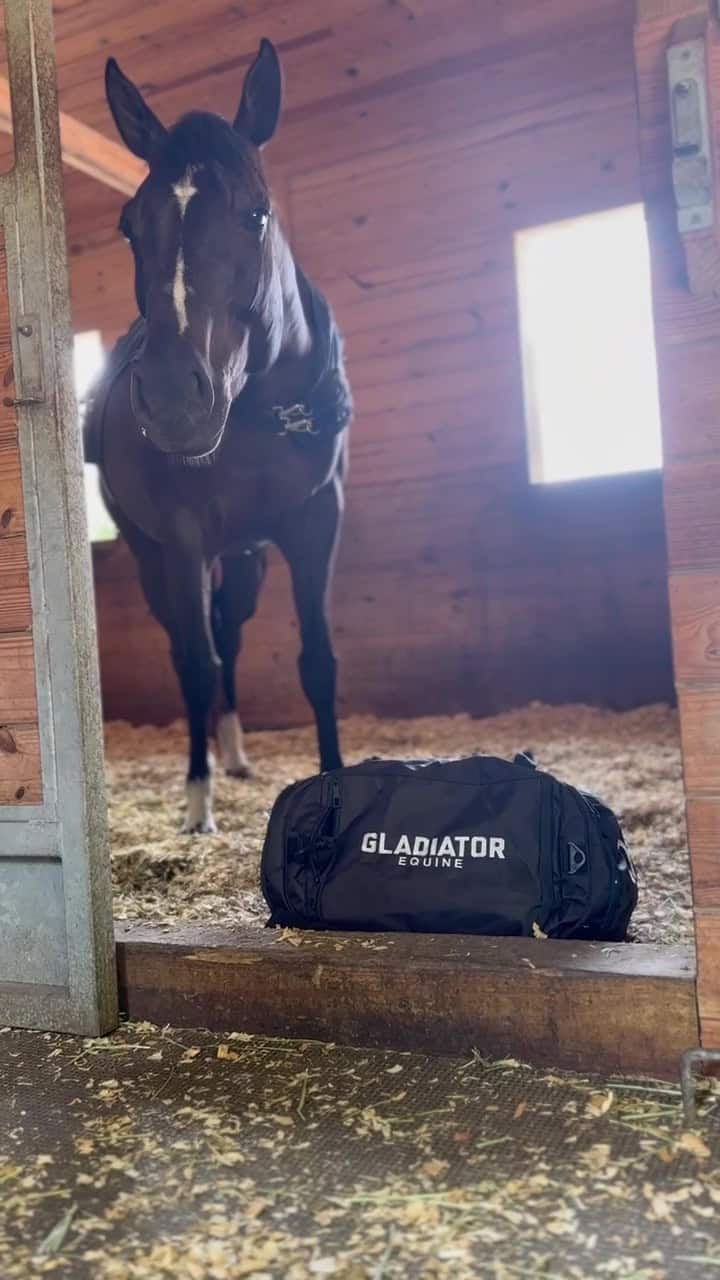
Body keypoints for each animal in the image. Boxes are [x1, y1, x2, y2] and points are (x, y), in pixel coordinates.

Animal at [84, 39, 353, 834]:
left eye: (256, 215)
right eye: (129, 225)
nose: (175, 401)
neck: (262, 416)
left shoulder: (315, 520)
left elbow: (317, 660)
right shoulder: (182, 535)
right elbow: (195, 663)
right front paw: (197, 803)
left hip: (246, 556)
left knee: (229, 632)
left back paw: (233, 752)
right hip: (159, 557)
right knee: (193, 647)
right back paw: (208, 769)